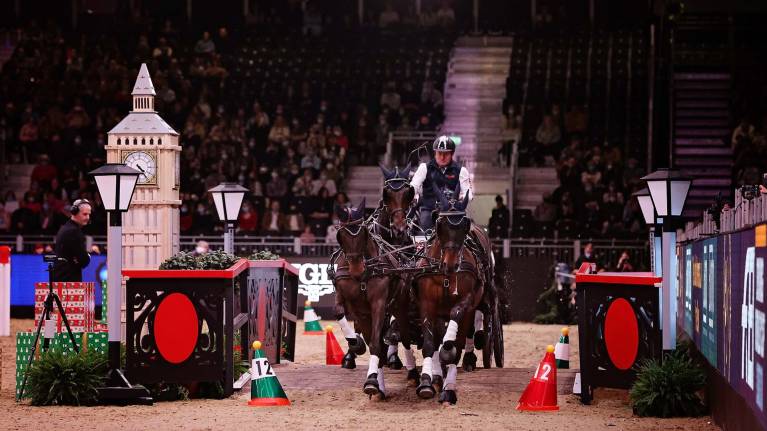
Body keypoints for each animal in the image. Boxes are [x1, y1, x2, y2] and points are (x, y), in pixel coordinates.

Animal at [330, 198, 402, 398]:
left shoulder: (378, 304)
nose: (356, 269)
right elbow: (339, 312)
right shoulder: (351, 303)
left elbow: (376, 344)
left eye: (362, 233)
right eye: (341, 235)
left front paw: (372, 381)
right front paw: (356, 345)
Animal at [412, 189, 489, 405]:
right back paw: (438, 377)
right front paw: (426, 383)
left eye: (464, 226)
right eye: (440, 224)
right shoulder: (427, 305)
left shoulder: (466, 302)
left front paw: (449, 388)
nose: (452, 265)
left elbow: (454, 344)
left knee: (466, 336)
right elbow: (430, 345)